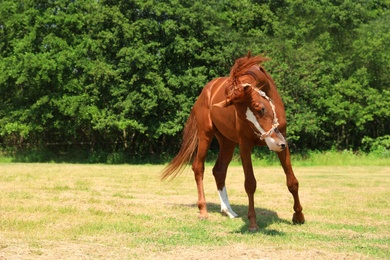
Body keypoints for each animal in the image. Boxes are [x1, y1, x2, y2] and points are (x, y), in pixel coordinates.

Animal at [161, 53, 304, 232]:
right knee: (198, 167)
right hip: (205, 135)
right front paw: (252, 223)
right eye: (242, 117)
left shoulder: (283, 141)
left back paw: (228, 210)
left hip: (227, 142)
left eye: (262, 109)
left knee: (219, 170)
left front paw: (299, 216)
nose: (273, 143)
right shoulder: (245, 146)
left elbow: (292, 181)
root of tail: (205, 92)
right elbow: (250, 183)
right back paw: (203, 210)